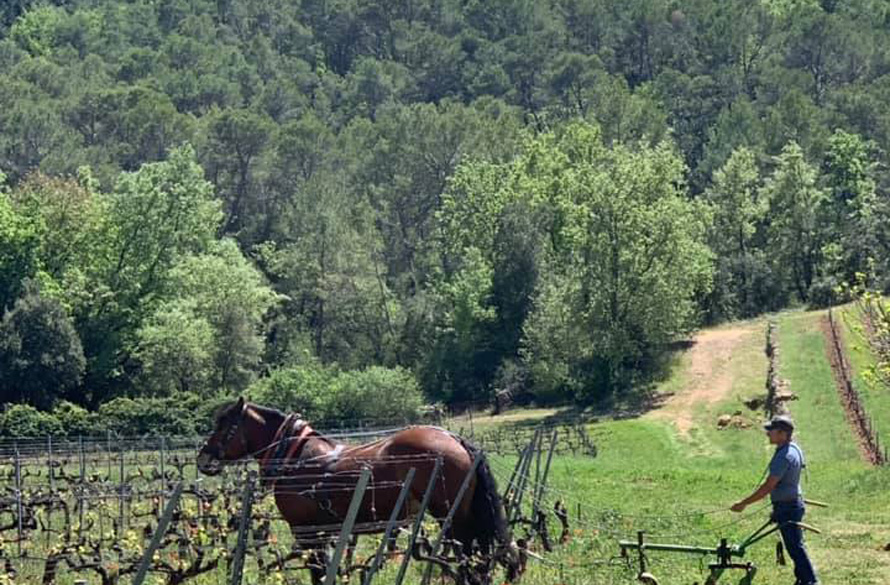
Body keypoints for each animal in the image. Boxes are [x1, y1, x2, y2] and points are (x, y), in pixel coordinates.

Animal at [194, 394, 512, 580]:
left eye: (224, 425)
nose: (203, 458)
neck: (294, 456)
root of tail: (455, 439)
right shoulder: (321, 532)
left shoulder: (307, 531)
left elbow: (318, 573)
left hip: (453, 516)